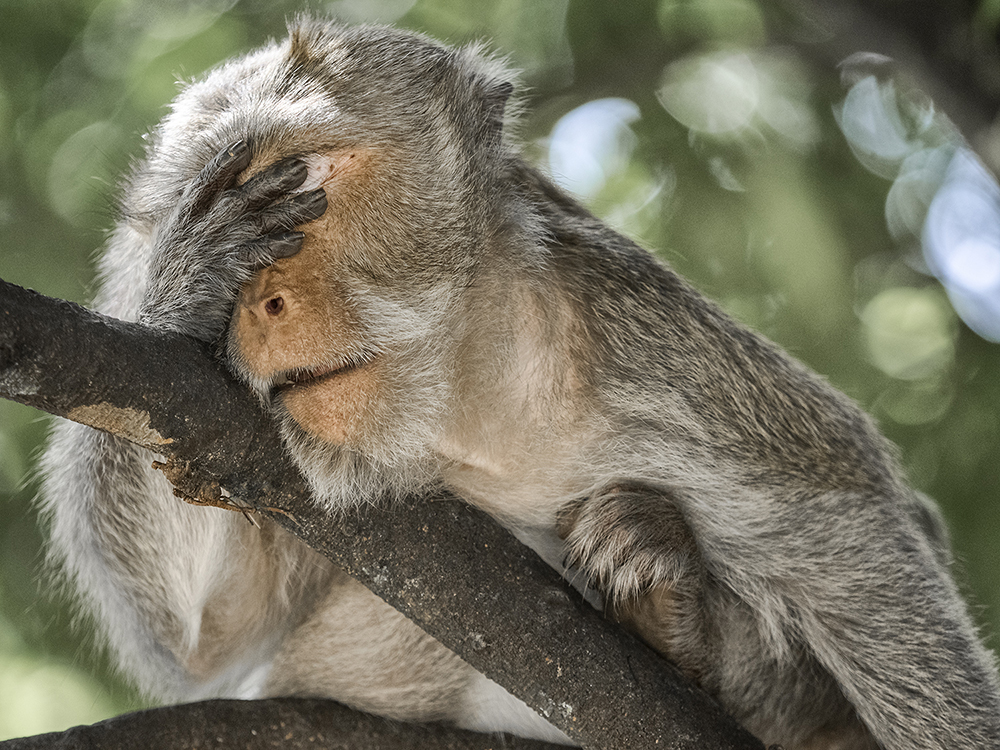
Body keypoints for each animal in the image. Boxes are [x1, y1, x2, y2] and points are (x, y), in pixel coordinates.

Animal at [41, 16, 1000, 750]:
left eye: (300, 175)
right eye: (218, 193)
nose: (260, 303)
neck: (469, 409)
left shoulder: (653, 351)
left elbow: (860, 530)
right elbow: (204, 638)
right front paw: (190, 283)